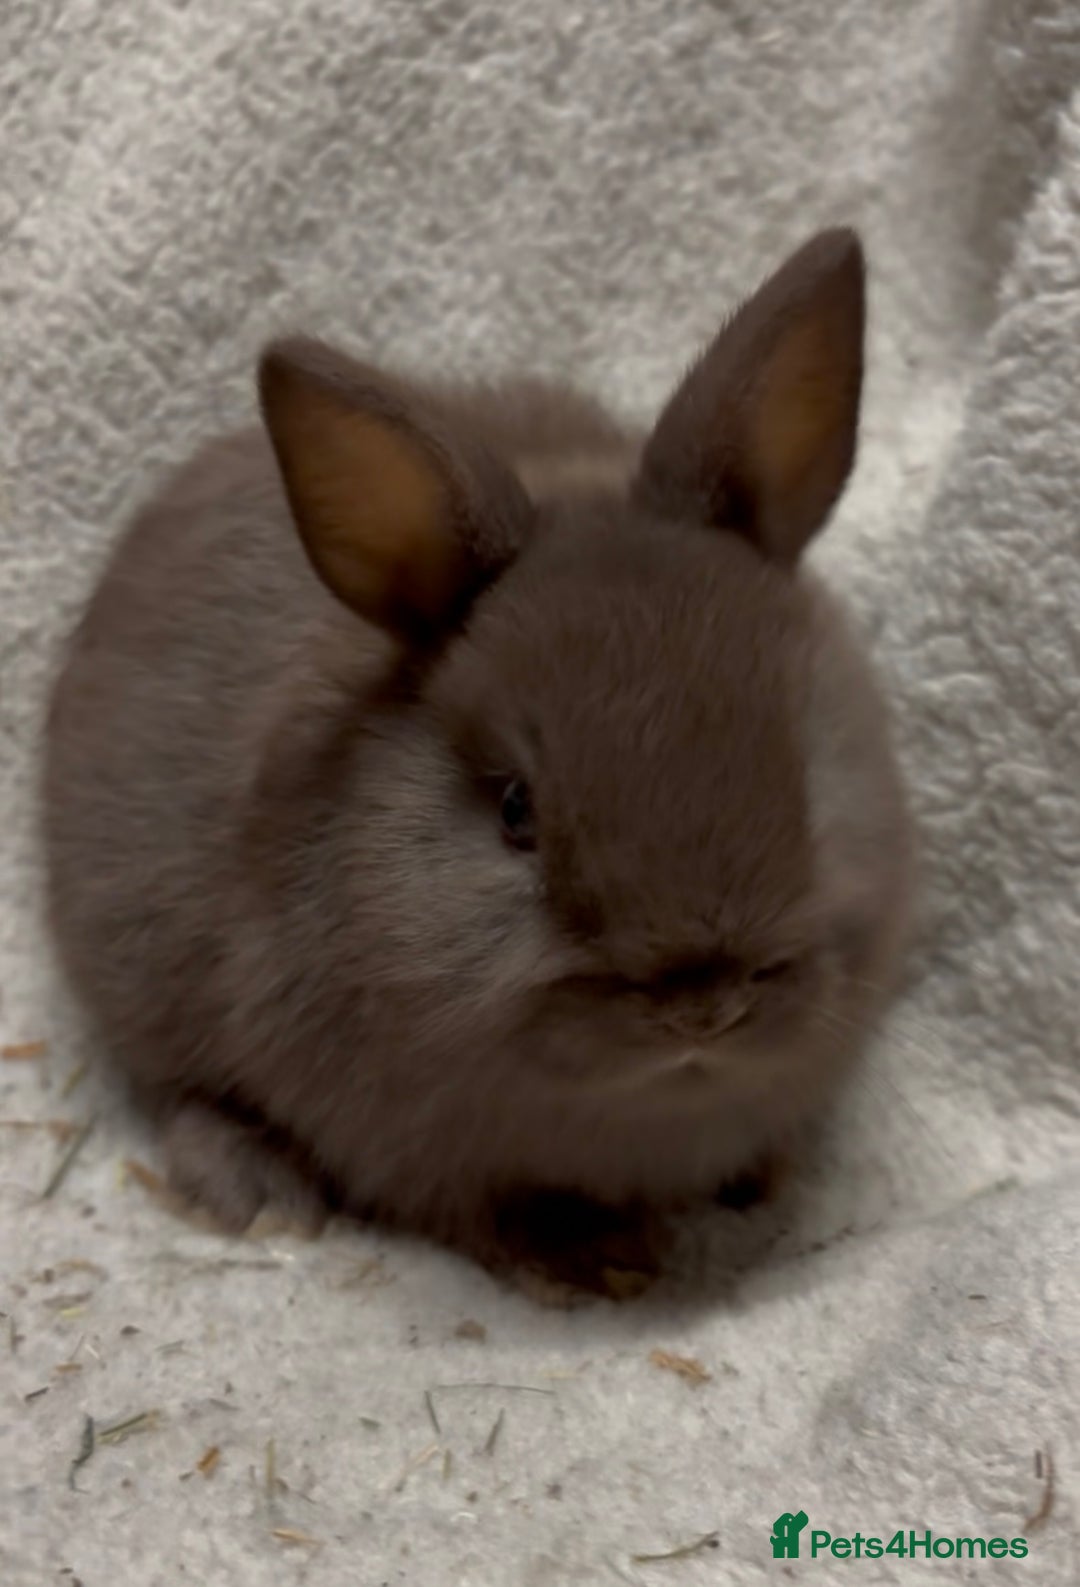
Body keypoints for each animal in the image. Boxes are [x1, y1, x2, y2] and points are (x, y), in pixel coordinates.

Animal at [42, 229, 913, 1291]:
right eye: (514, 811)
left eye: (802, 763)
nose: (700, 1007)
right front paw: (598, 1259)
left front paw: (762, 1185)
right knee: (179, 1088)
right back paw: (259, 1194)